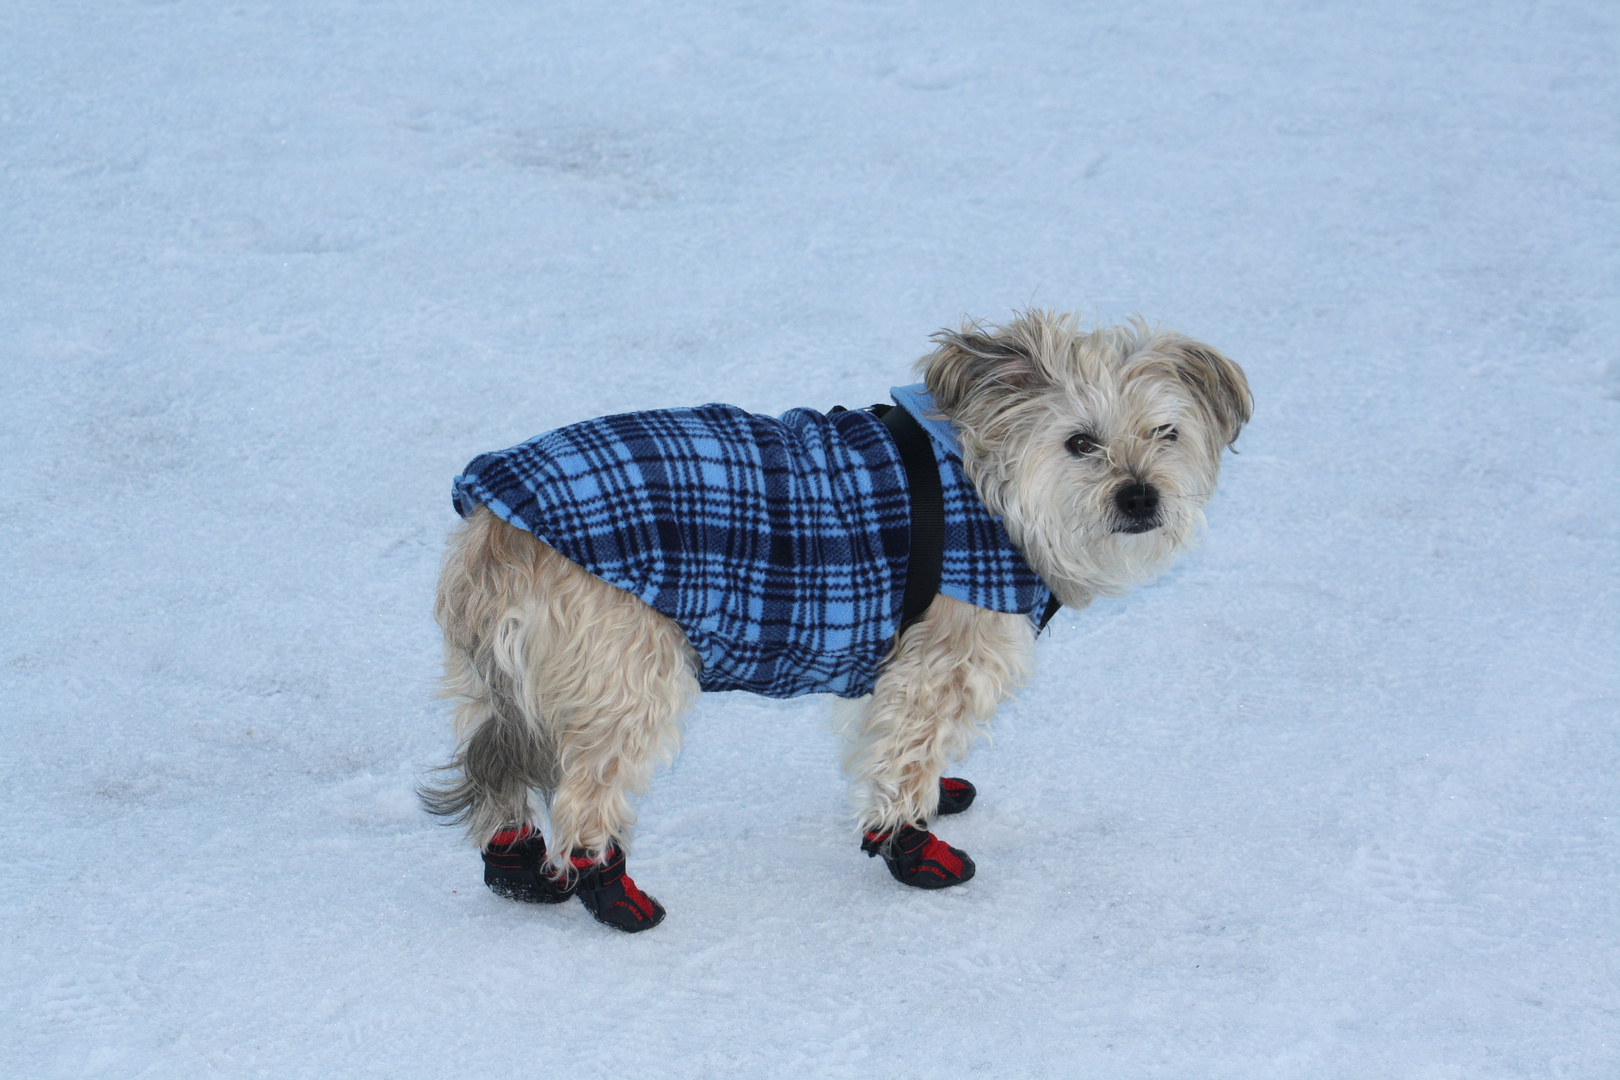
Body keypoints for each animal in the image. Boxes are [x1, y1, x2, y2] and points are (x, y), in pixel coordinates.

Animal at [421, 310, 1250, 932]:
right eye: (1081, 442)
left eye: (1167, 434)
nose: (1141, 497)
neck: (988, 484)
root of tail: (498, 529)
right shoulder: (940, 667)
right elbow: (902, 760)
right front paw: (911, 848)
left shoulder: (891, 658)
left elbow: (874, 740)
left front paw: (936, 798)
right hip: (627, 681)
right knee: (585, 799)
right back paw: (612, 896)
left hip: (493, 687)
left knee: (501, 783)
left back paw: (518, 873)